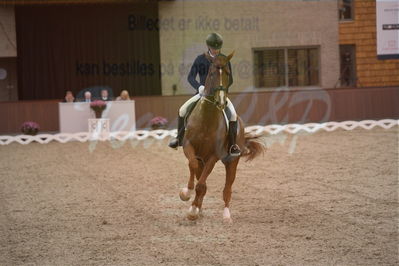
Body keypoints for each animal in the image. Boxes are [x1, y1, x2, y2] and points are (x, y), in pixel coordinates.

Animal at [180, 50, 264, 222]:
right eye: (211, 73)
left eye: (227, 73)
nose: (221, 101)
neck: (206, 119)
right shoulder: (189, 147)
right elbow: (193, 166)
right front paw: (186, 194)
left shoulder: (213, 156)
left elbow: (201, 185)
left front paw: (192, 210)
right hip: (203, 158)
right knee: (199, 173)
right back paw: (199, 207)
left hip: (232, 161)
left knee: (227, 187)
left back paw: (226, 214)